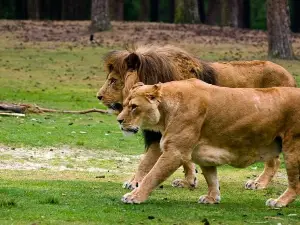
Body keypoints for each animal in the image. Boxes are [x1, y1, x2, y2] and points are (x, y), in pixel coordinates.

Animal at [96, 45, 296, 190]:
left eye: (113, 80)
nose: (98, 96)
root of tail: (290, 77)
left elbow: (146, 160)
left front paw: (134, 181)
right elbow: (185, 158)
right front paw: (189, 181)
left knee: (275, 160)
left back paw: (259, 183)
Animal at [116, 80, 300, 208]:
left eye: (134, 106)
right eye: (124, 105)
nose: (119, 120)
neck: (165, 112)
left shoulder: (175, 152)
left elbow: (152, 176)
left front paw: (134, 196)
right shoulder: (203, 154)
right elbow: (212, 178)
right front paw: (212, 198)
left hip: (292, 149)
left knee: (295, 184)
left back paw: (279, 202)